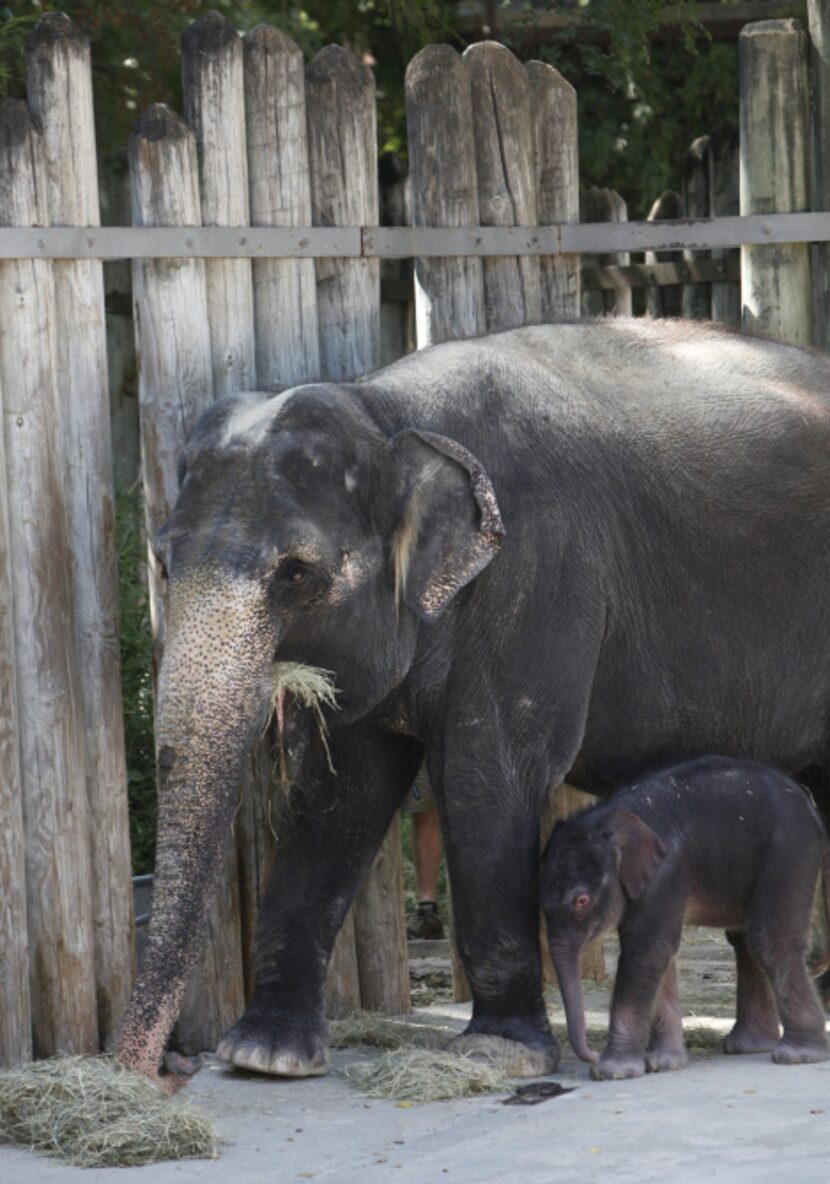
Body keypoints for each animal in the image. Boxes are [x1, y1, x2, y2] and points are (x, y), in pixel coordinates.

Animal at [539, 757, 828, 1084]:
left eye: (582, 901)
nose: (592, 1054)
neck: (611, 815)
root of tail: (809, 803)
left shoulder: (668, 871)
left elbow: (646, 949)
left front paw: (613, 1071)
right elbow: (660, 954)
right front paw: (661, 1064)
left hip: (789, 852)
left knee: (768, 940)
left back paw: (797, 1055)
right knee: (744, 940)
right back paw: (749, 1046)